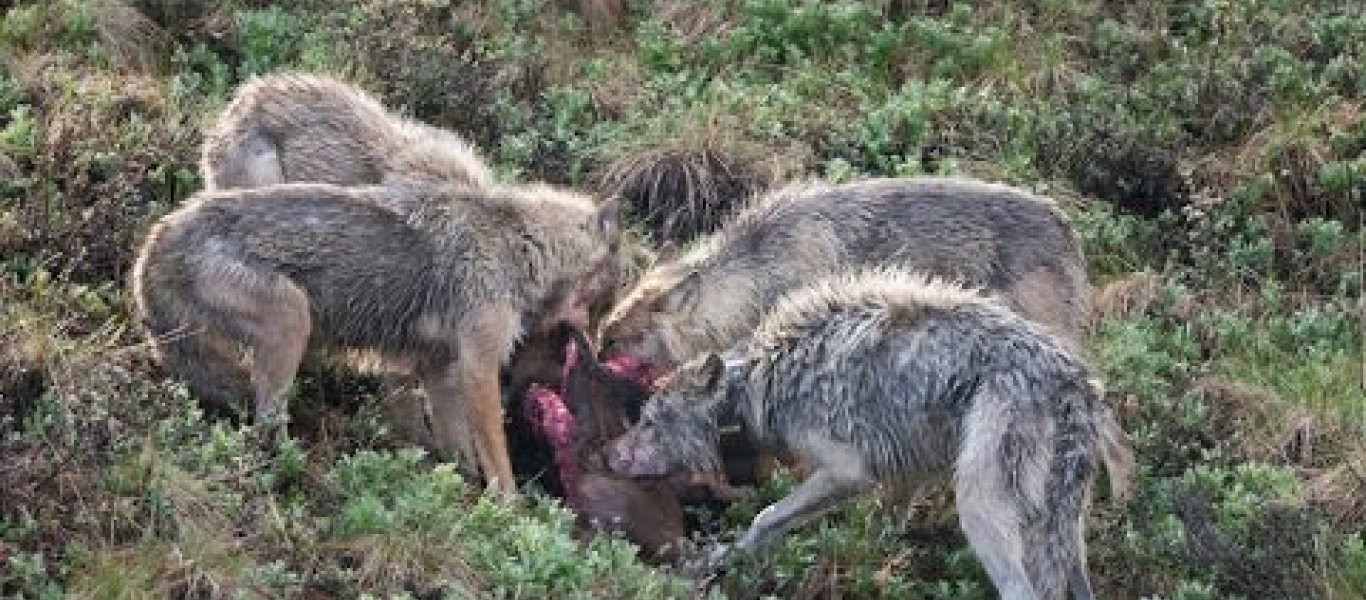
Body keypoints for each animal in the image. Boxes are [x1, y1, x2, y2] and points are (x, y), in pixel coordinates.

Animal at [128, 183, 620, 497]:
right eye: (601, 307)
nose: (599, 355)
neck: (520, 243)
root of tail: (157, 238)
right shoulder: (478, 369)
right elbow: (498, 462)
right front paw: (509, 513)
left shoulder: (440, 371)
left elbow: (459, 452)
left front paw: (461, 496)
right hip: (292, 318)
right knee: (267, 427)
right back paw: (308, 475)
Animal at [609, 270, 1120, 598]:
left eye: (650, 420)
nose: (608, 456)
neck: (760, 381)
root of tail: (1075, 385)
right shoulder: (911, 471)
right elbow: (883, 527)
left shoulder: (847, 471)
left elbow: (766, 517)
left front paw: (716, 561)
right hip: (1063, 531)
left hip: (980, 505)